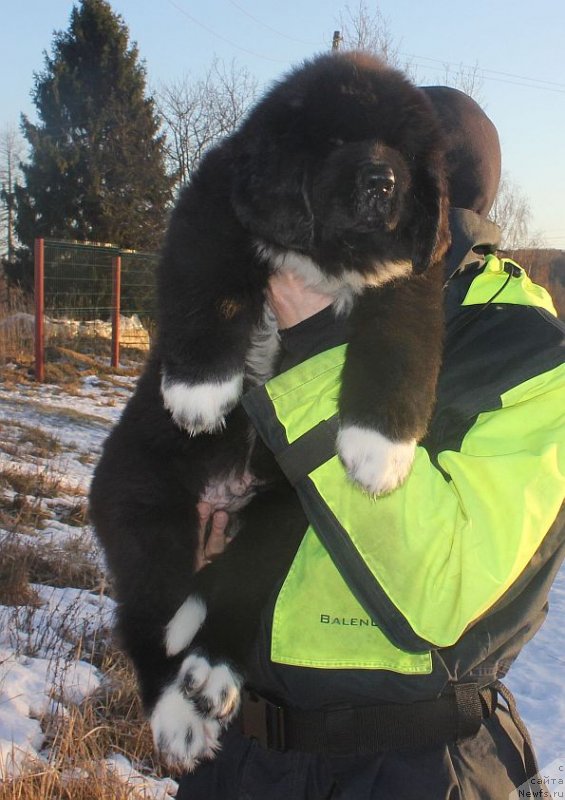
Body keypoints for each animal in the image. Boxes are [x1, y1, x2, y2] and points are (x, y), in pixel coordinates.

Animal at [89, 50, 450, 768]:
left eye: (402, 149)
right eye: (334, 141)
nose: (383, 180)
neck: (333, 255)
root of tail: (226, 496)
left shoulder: (409, 278)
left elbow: (401, 346)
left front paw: (379, 451)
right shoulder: (212, 211)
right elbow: (210, 288)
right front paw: (200, 390)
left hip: (281, 519)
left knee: (235, 594)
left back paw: (211, 675)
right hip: (140, 495)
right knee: (149, 615)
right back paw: (178, 712)